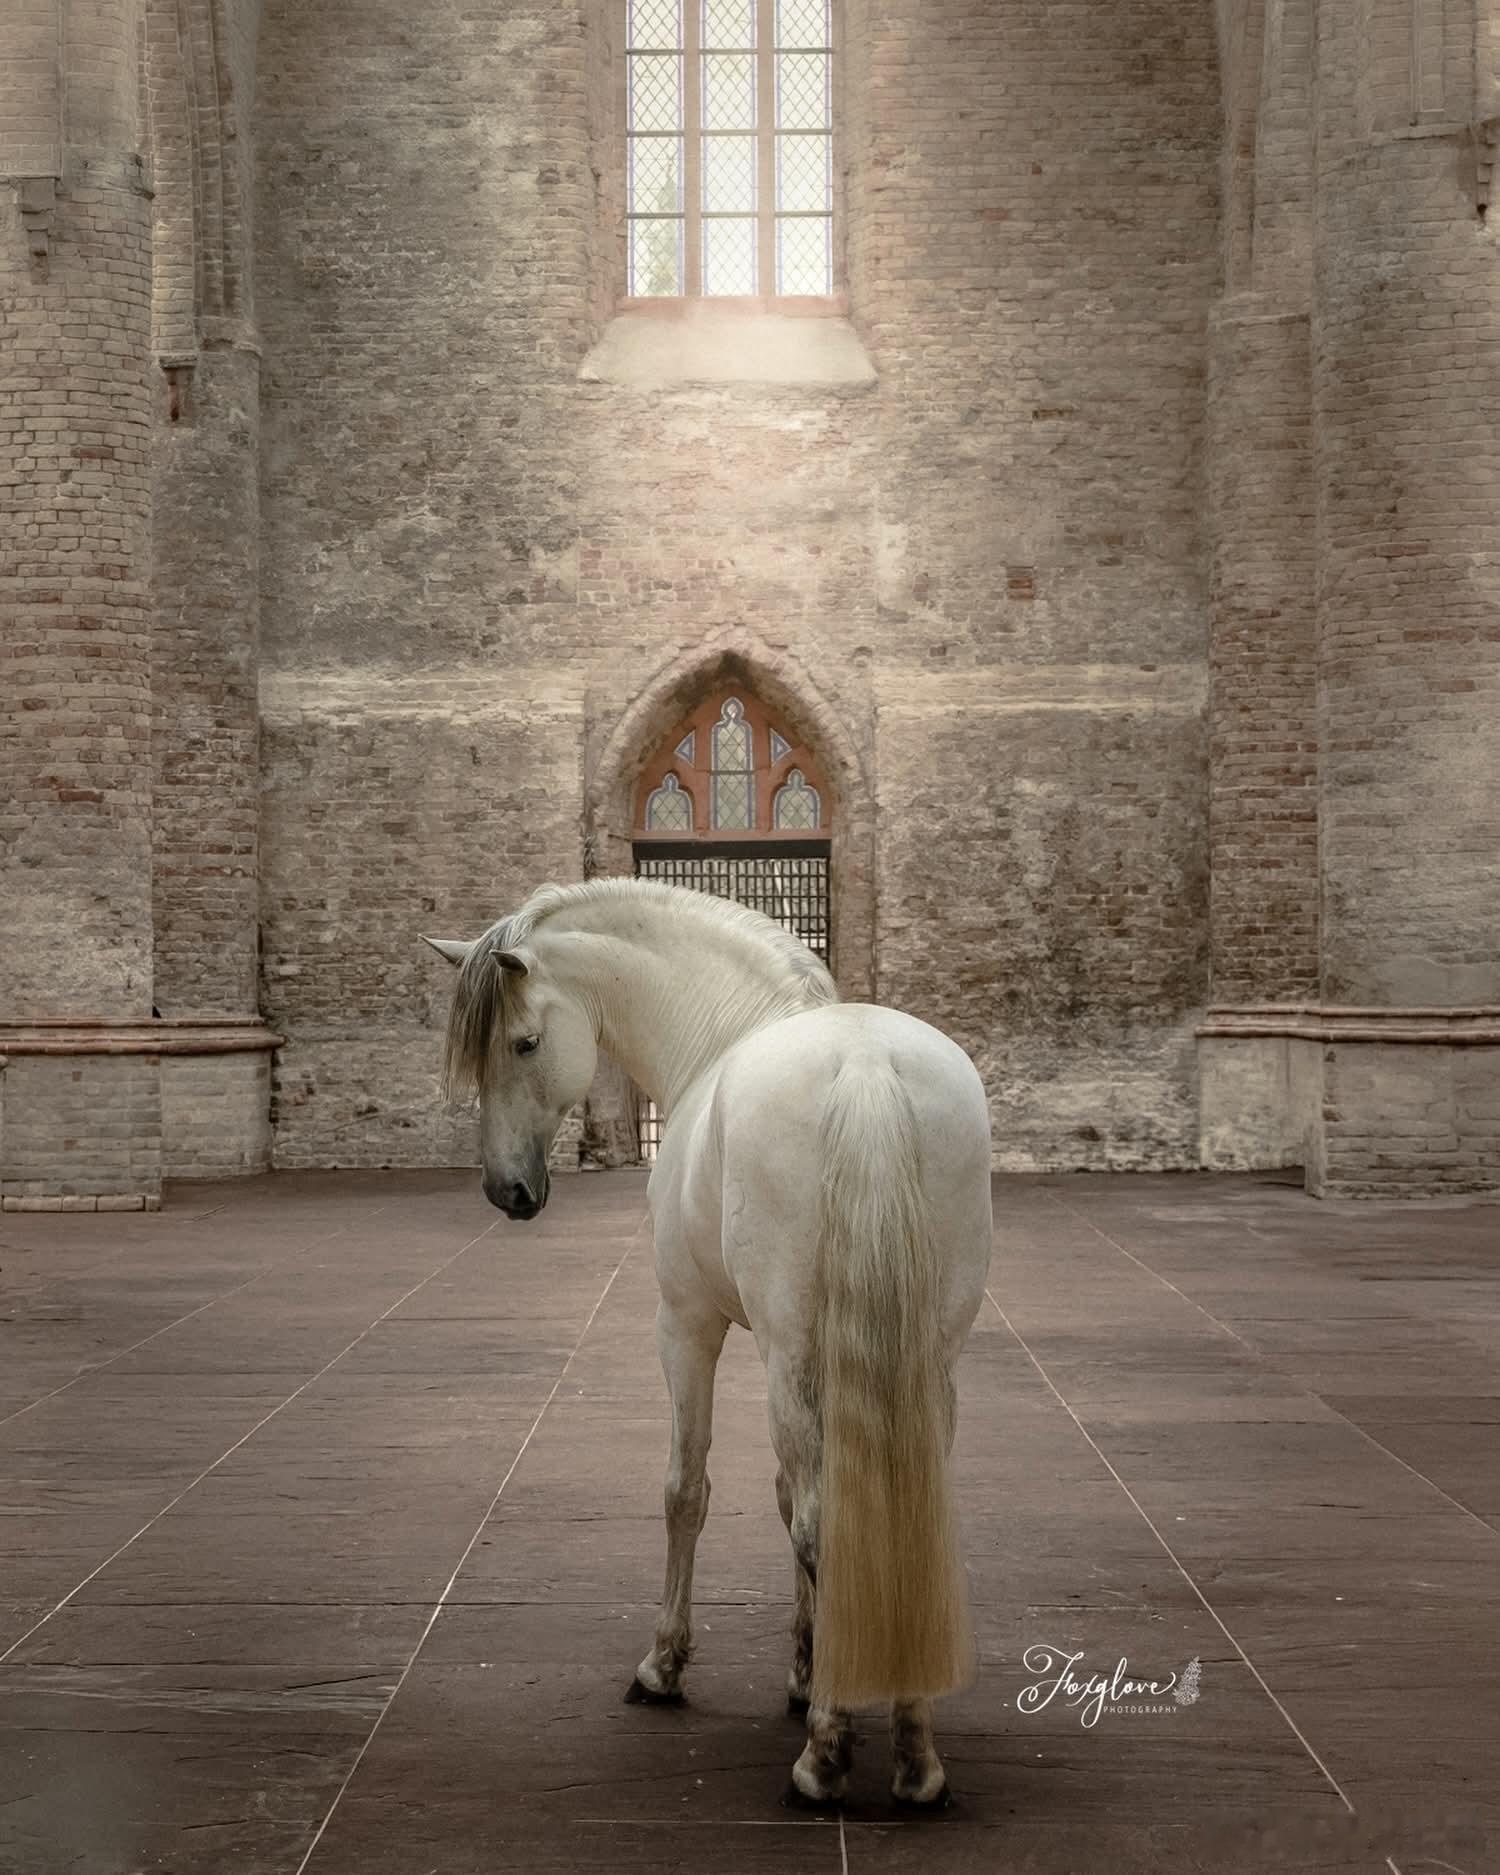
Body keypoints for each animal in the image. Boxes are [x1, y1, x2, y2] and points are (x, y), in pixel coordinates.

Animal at [424, 878, 993, 1805]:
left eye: (523, 1042)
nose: (506, 1190)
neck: (726, 1026)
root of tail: (866, 1066)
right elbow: (782, 1494)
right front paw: (803, 1668)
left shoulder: (688, 1324)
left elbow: (687, 1490)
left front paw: (666, 1664)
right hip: (929, 1360)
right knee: (899, 1513)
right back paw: (916, 1757)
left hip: (789, 1354)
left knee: (821, 1524)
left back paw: (824, 1758)